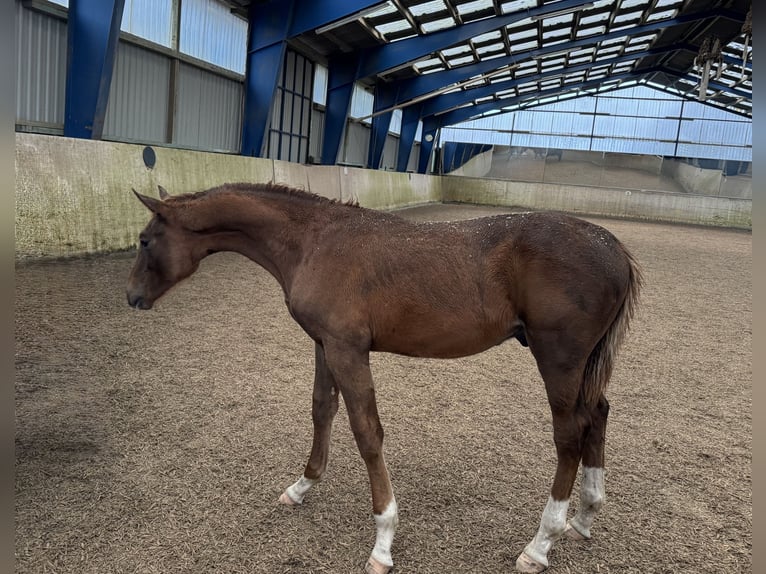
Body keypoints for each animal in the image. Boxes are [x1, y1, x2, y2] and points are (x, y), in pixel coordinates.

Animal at [126, 182, 642, 573]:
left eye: (146, 240)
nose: (132, 297)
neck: (314, 241)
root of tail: (614, 247)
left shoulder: (348, 350)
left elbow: (366, 432)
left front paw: (383, 541)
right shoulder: (325, 344)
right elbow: (322, 409)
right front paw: (302, 486)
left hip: (559, 360)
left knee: (569, 434)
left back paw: (540, 544)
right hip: (583, 367)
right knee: (597, 414)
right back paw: (585, 515)